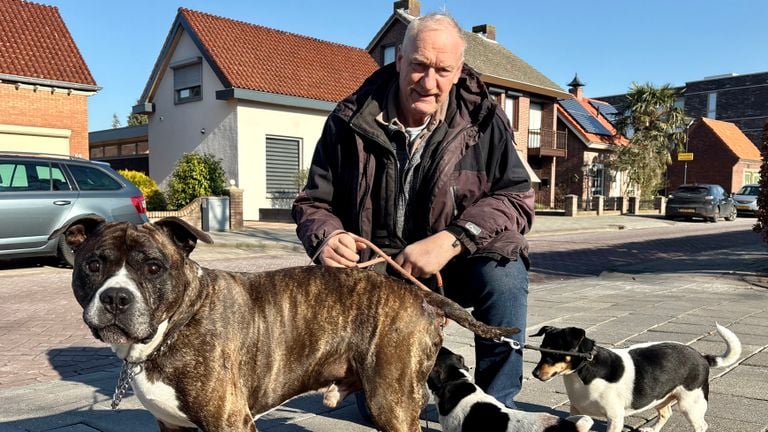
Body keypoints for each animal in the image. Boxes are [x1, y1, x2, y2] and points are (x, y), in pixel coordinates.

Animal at [532, 324, 740, 432]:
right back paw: (653, 429)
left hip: (690, 405)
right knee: (666, 413)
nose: (534, 374)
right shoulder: (576, 411)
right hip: (661, 397)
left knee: (701, 425)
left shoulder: (614, 417)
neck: (583, 372)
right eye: (541, 351)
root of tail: (702, 357)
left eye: (553, 353)